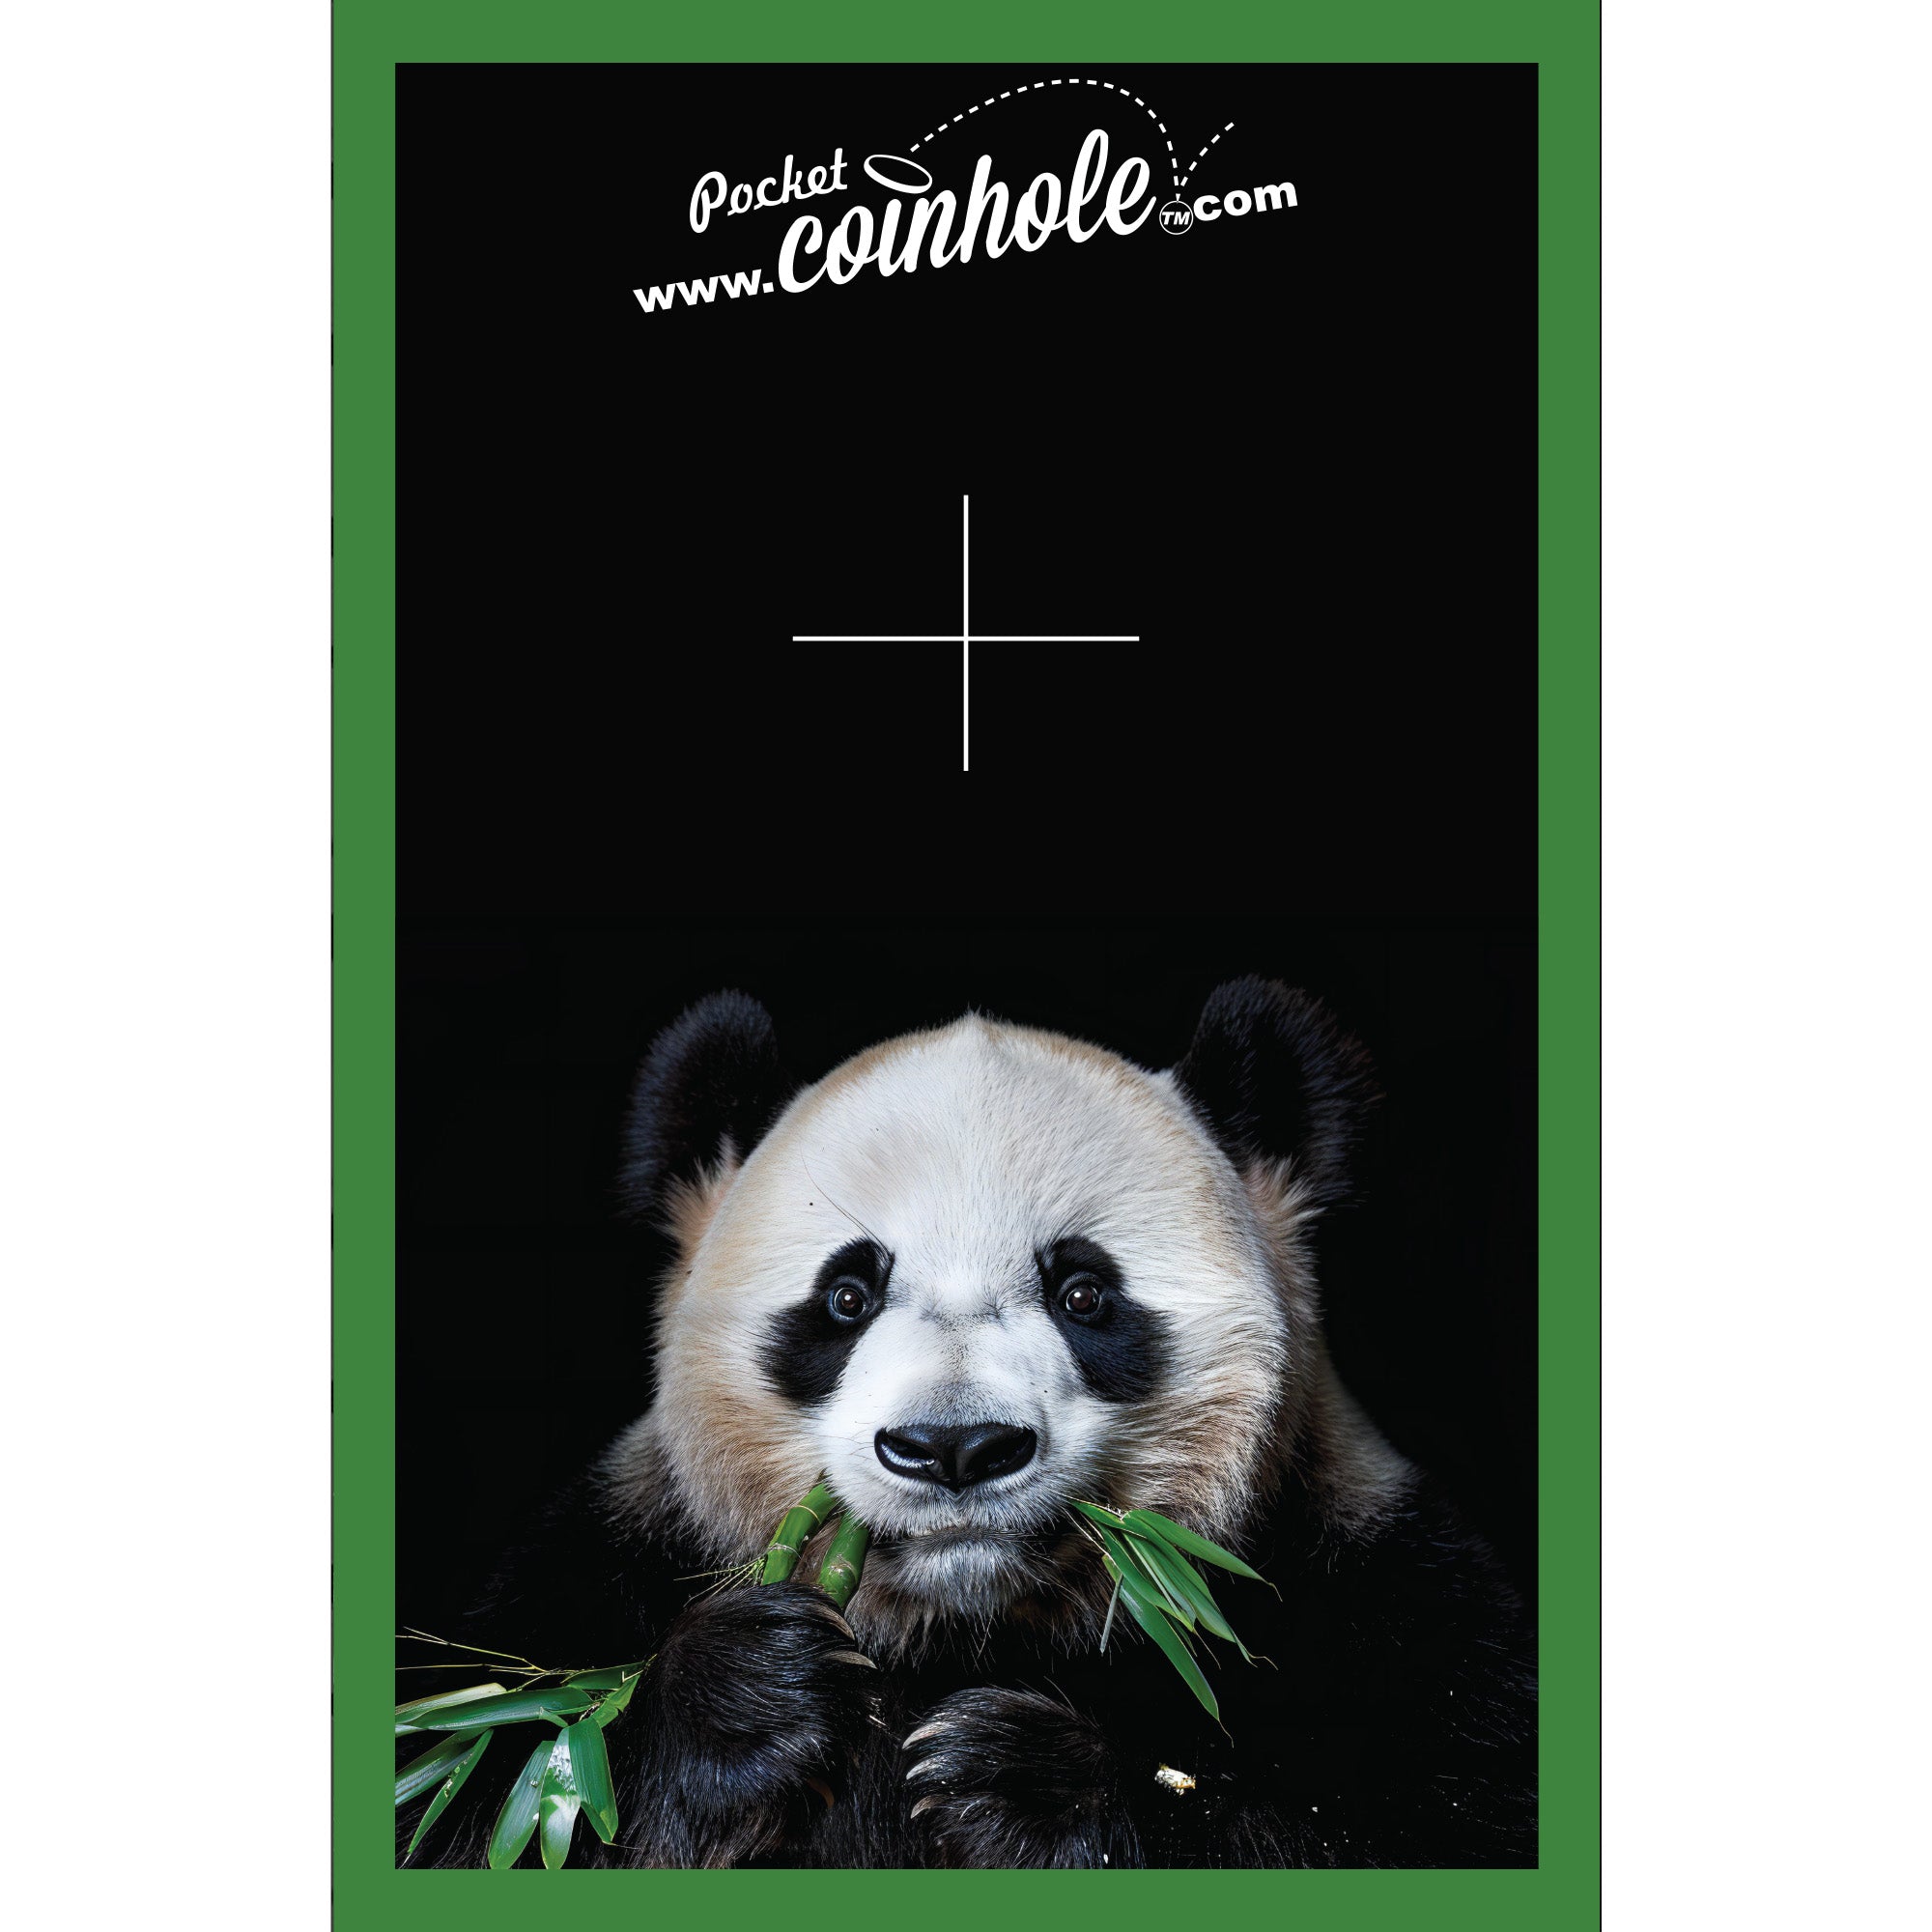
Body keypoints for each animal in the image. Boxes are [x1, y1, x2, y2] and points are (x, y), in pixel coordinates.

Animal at [405, 978, 1536, 1868]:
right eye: (846, 1296)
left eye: (1084, 1292)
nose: (953, 1448)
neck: (964, 1636)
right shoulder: (600, 1569)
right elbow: (489, 1788)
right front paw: (755, 1693)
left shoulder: (1375, 1592)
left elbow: (1438, 1823)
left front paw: (1010, 1780)